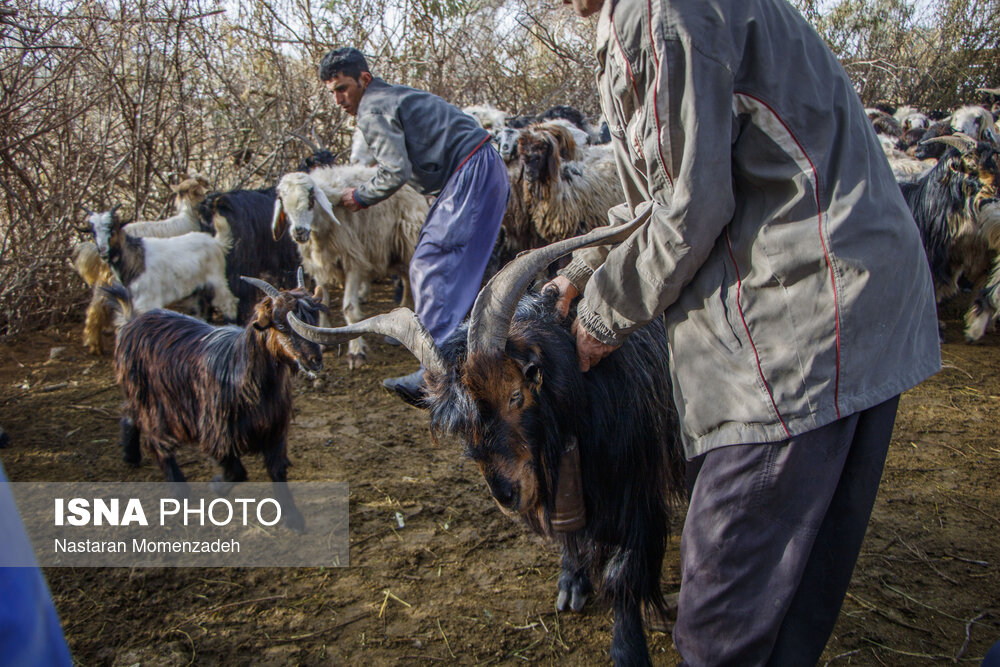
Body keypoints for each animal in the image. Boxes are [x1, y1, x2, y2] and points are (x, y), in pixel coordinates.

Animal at [274, 164, 426, 368]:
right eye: (283, 201)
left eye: (311, 199)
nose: (299, 232)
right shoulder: (320, 267)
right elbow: (322, 301)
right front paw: (322, 340)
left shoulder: (352, 261)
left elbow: (349, 309)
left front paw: (356, 352)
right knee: (405, 276)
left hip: (405, 240)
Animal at [290, 222, 688, 664]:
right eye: (460, 428)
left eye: (516, 395)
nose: (507, 495)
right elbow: (573, 535)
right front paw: (572, 582)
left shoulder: (634, 486)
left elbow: (625, 573)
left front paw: (627, 649)